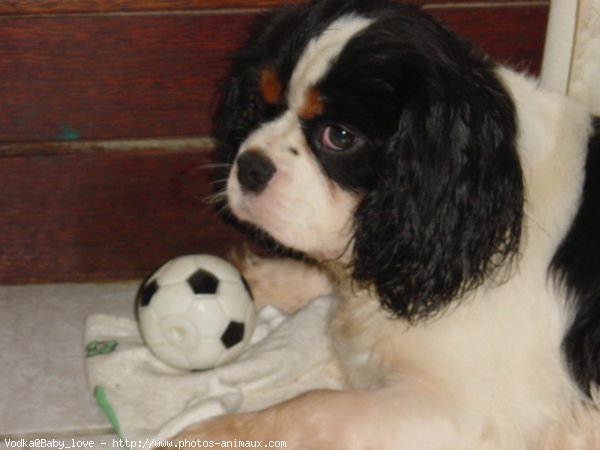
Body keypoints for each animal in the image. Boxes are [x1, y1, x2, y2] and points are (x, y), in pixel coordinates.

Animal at [164, 1, 600, 448]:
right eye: (258, 103)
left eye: (339, 136)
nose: (250, 167)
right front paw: (255, 281)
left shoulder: (477, 412)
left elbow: (314, 407)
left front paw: (215, 432)